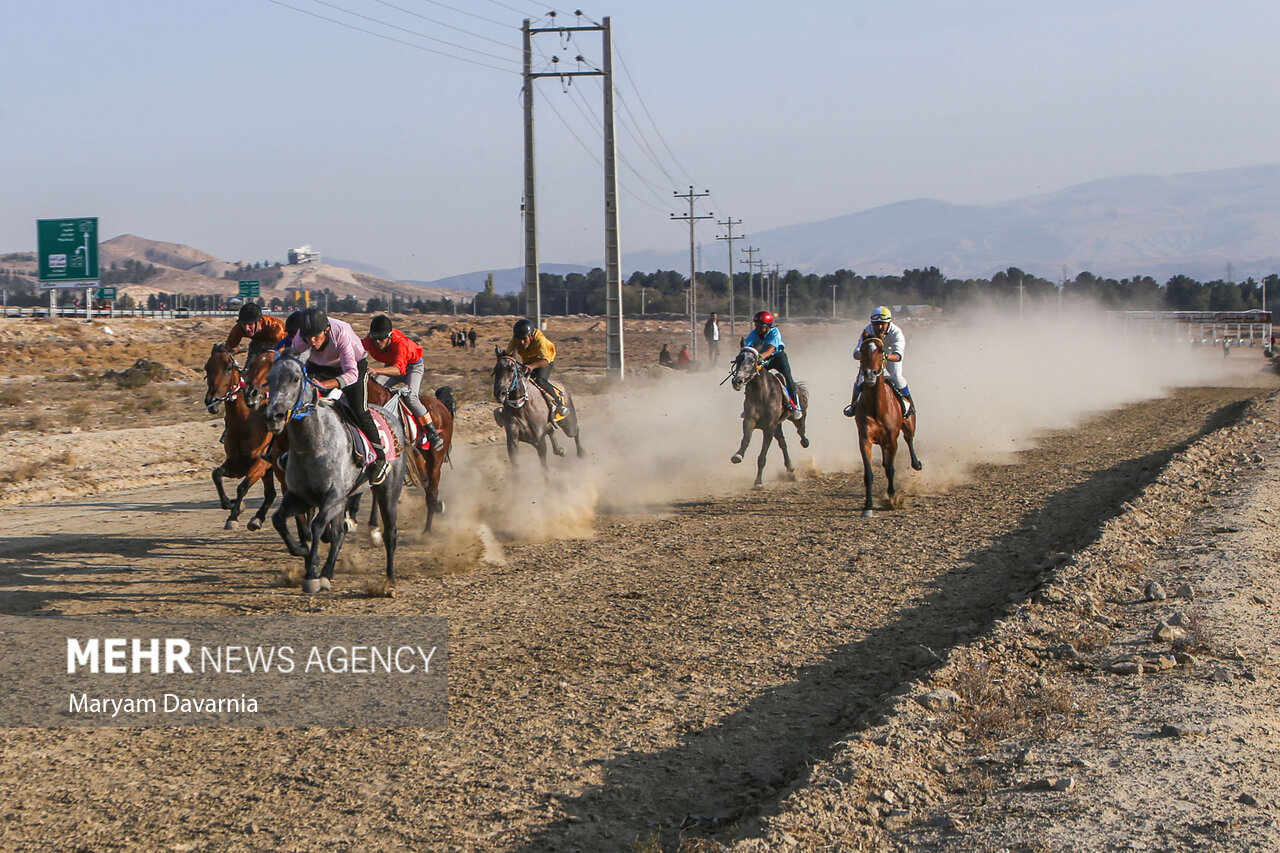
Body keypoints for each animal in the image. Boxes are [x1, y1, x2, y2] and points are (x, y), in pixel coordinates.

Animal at [203, 343, 281, 527]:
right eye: (207, 367)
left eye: (228, 367)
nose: (211, 402)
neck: (244, 422)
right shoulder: (237, 464)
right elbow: (216, 475)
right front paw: (229, 504)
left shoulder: (260, 463)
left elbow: (242, 487)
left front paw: (234, 515)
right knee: (271, 493)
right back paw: (257, 518)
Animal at [267, 350, 407, 591]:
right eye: (269, 378)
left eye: (295, 379)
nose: (273, 416)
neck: (312, 445)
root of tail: (390, 416)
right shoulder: (301, 497)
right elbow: (279, 519)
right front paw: (302, 551)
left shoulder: (333, 497)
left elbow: (317, 525)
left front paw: (311, 573)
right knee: (339, 535)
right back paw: (327, 573)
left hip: (387, 492)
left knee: (390, 533)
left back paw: (389, 581)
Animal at [732, 340, 808, 484]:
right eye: (738, 359)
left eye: (752, 361)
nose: (737, 381)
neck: (762, 393)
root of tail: (798, 388)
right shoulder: (750, 420)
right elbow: (745, 439)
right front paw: (738, 455)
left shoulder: (769, 427)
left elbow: (762, 457)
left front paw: (758, 482)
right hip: (778, 426)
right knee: (783, 443)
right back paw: (790, 468)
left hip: (795, 418)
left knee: (801, 430)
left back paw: (805, 442)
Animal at [849, 335, 921, 514]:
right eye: (863, 349)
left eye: (881, 350)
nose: (869, 374)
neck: (877, 407)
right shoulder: (865, 439)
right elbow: (869, 473)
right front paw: (868, 504)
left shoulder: (892, 441)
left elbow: (890, 469)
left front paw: (892, 496)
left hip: (909, 425)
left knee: (909, 439)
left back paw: (916, 463)